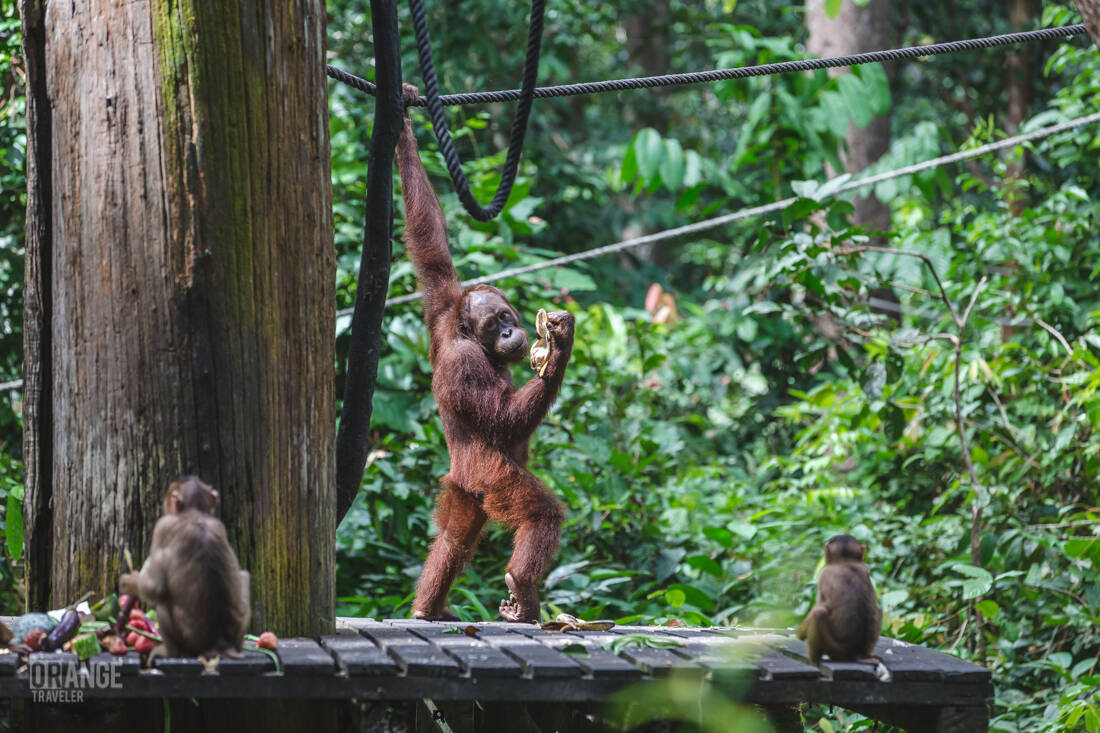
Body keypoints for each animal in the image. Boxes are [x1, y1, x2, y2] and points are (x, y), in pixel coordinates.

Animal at [120, 476, 250, 658]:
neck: (194, 512)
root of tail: (220, 643)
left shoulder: (162, 527)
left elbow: (154, 588)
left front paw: (128, 582)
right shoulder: (219, 524)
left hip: (188, 642)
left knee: (163, 603)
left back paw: (167, 651)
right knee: (244, 575)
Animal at [396, 83, 575, 623]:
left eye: (505, 316)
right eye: (494, 325)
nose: (511, 333)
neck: (467, 335)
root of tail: (470, 479)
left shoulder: (441, 304)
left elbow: (430, 243)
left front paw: (404, 123)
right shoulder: (464, 361)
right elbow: (500, 420)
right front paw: (557, 349)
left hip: (469, 491)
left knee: (455, 537)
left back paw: (427, 609)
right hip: (496, 480)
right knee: (540, 513)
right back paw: (523, 587)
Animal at [797, 534, 882, 664]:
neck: (845, 561)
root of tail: (857, 653)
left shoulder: (824, 574)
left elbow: (821, 605)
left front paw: (801, 632)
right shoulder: (864, 567)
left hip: (835, 648)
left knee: (818, 614)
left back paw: (813, 659)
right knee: (879, 608)